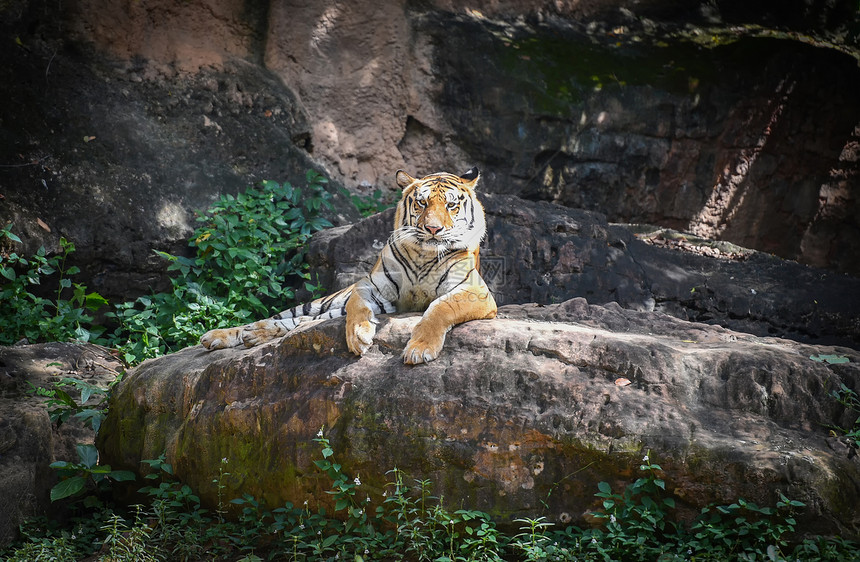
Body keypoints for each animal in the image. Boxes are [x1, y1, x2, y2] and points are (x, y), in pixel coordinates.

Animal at [201, 166, 498, 364]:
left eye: (451, 206)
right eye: (422, 203)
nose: (433, 229)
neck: (424, 255)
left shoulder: (475, 292)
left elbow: (440, 307)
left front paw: (420, 349)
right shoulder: (369, 286)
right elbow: (357, 306)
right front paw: (358, 336)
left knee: (300, 323)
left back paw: (256, 335)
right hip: (321, 302)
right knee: (281, 317)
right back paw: (222, 335)